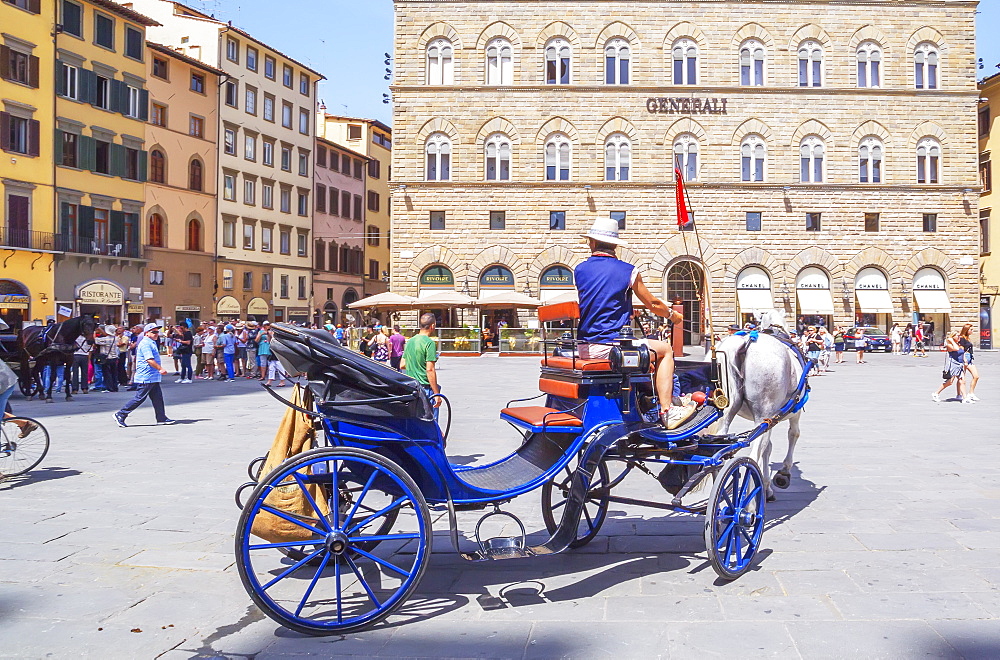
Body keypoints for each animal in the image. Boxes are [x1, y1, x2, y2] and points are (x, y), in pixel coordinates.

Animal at [716, 310, 808, 500]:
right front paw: (782, 474)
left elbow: (768, 448)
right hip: (764, 412)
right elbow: (793, 434)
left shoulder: (770, 420)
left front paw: (766, 487)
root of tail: (746, 342)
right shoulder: (793, 412)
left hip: (727, 409)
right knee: (754, 453)